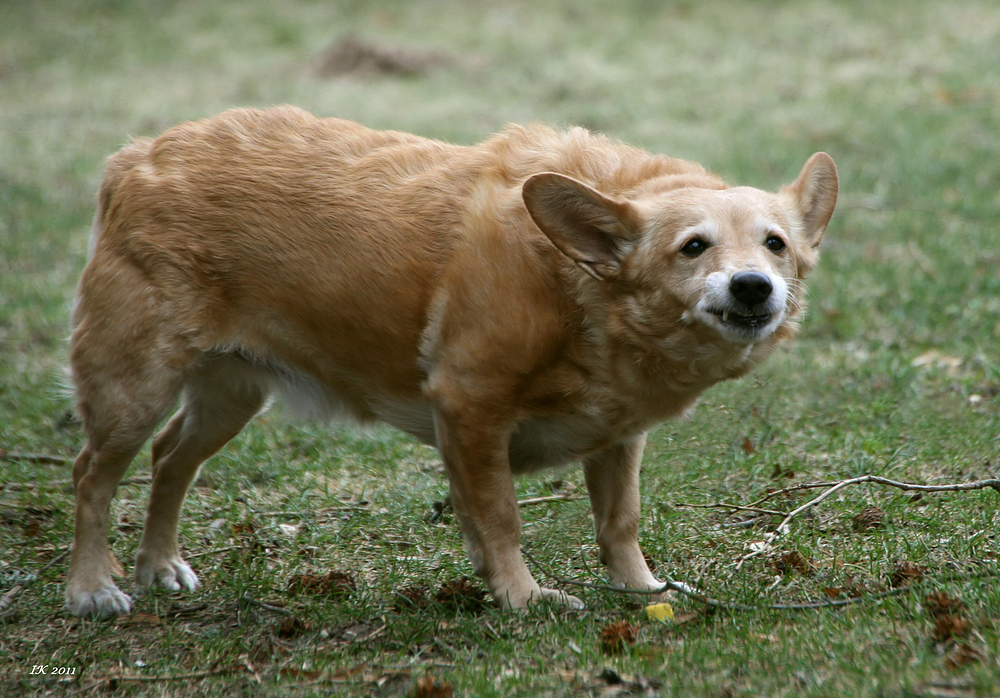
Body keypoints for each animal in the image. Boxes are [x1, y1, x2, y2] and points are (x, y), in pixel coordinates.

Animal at [64, 103, 836, 616]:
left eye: (775, 245)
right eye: (693, 247)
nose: (754, 287)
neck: (575, 287)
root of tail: (136, 158)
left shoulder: (618, 439)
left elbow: (620, 522)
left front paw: (639, 589)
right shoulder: (469, 410)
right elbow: (500, 521)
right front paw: (523, 598)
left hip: (229, 397)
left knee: (169, 460)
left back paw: (160, 566)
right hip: (133, 387)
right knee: (92, 475)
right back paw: (92, 586)